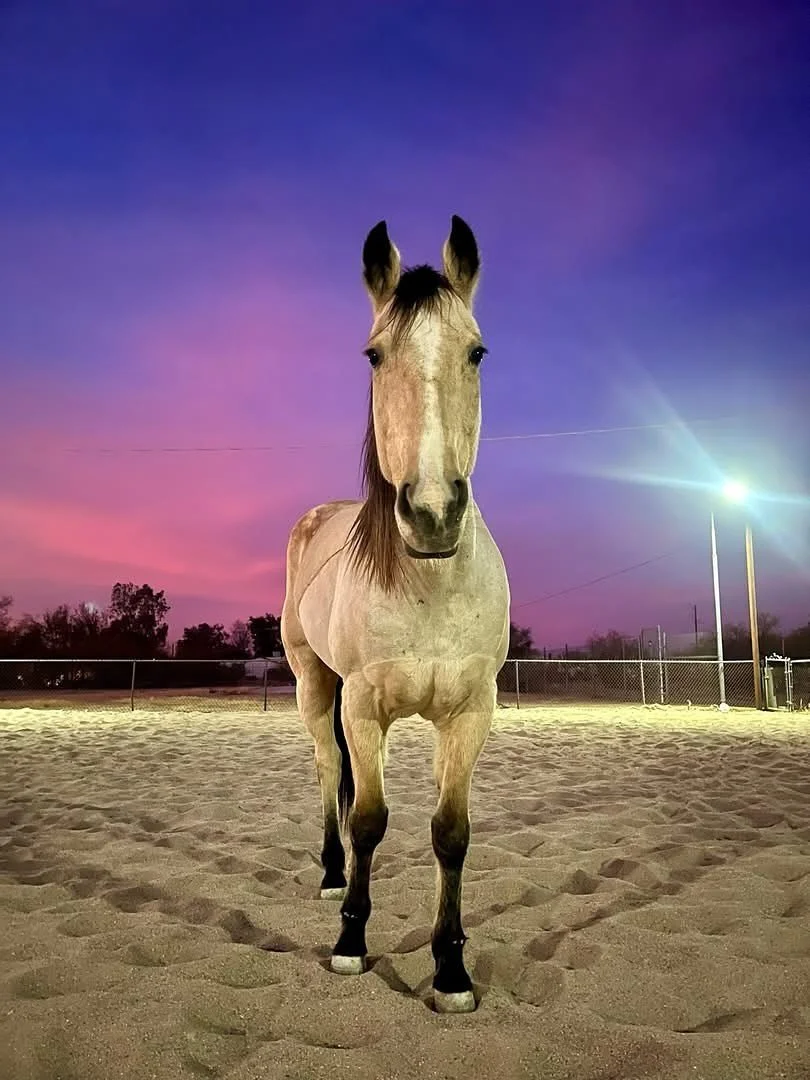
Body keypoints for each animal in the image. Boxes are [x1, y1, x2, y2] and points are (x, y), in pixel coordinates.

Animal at [280, 215, 510, 1013]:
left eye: (477, 351)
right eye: (375, 354)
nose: (433, 513)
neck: (428, 587)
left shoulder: (470, 712)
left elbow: (451, 832)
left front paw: (451, 969)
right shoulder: (362, 704)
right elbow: (370, 820)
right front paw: (352, 938)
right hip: (317, 688)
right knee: (330, 774)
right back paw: (330, 874)